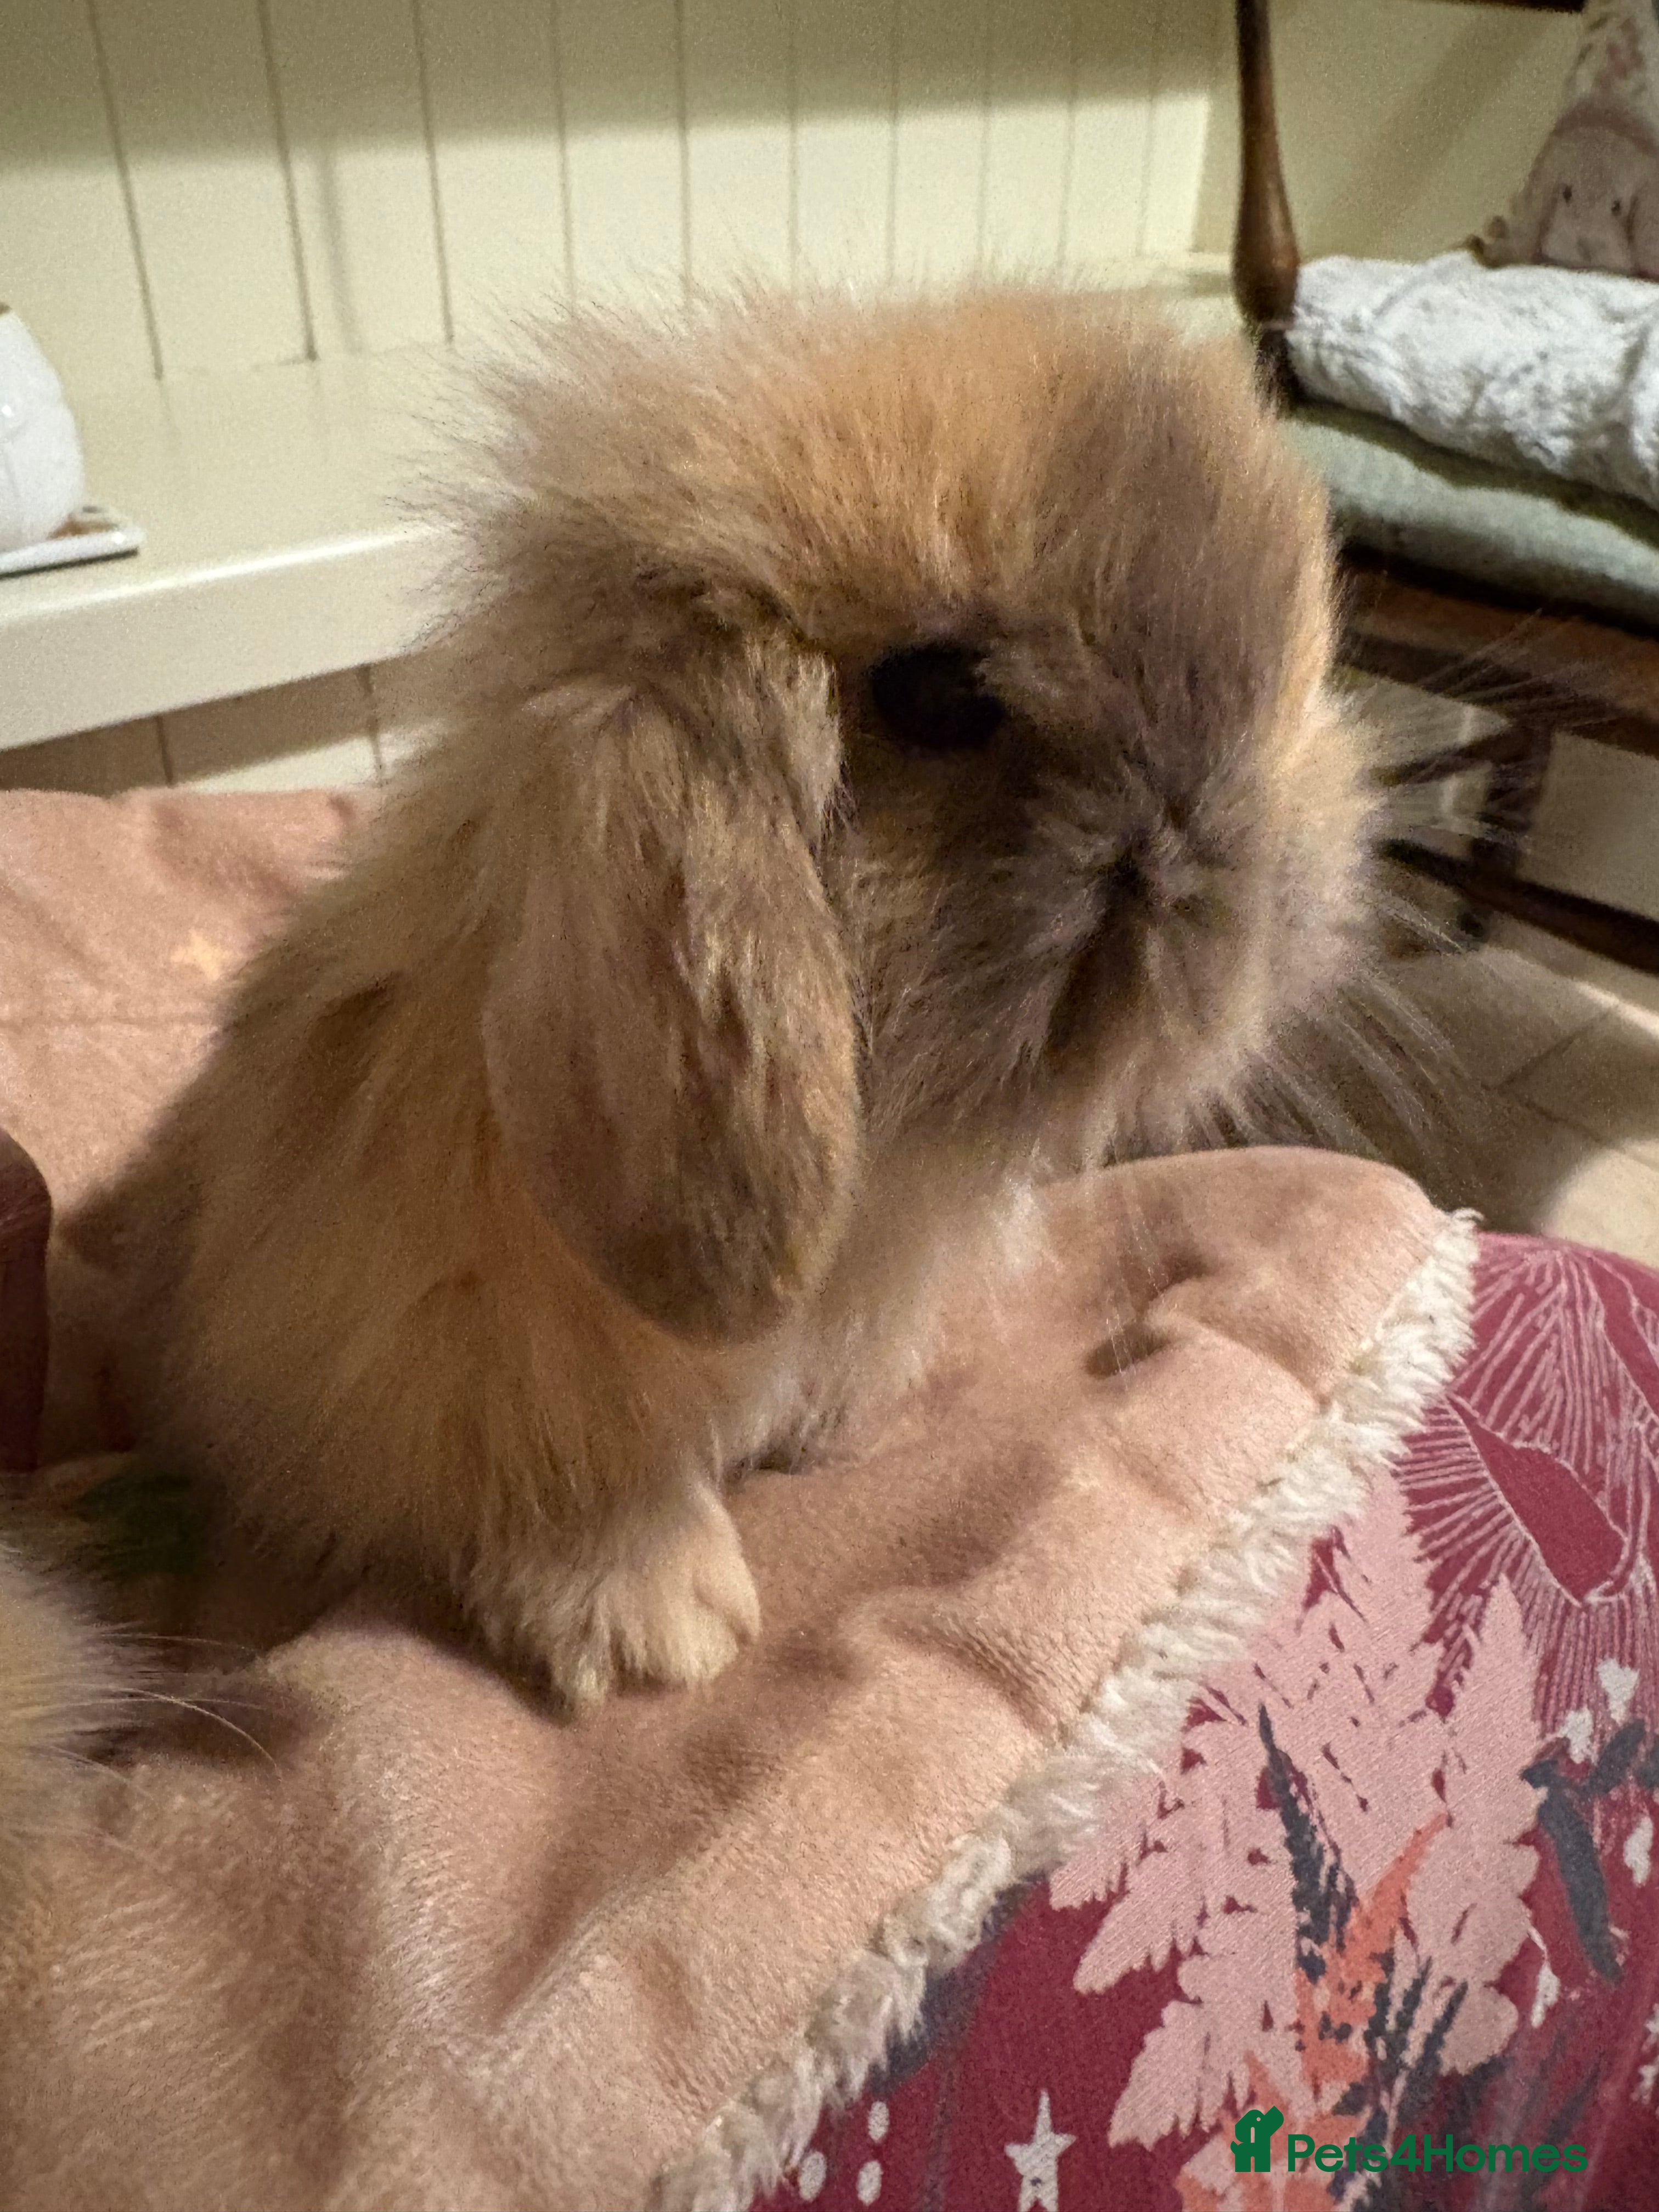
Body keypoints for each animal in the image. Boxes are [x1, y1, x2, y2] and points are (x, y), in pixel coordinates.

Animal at [33, 284, 1371, 1721]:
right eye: (938, 696)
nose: (1244, 899)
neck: (876, 1175)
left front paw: (829, 1442)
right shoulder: (474, 1355)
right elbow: (575, 1491)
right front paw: (662, 1638)